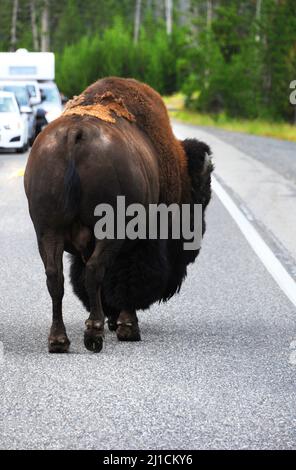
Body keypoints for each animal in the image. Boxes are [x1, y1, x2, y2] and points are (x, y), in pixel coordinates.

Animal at [23, 78, 213, 352]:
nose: (197, 239)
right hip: (110, 232)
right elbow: (129, 280)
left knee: (55, 278)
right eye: (201, 199)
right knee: (94, 272)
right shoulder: (142, 242)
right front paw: (127, 328)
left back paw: (59, 340)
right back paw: (94, 334)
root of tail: (75, 134)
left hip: (47, 231)